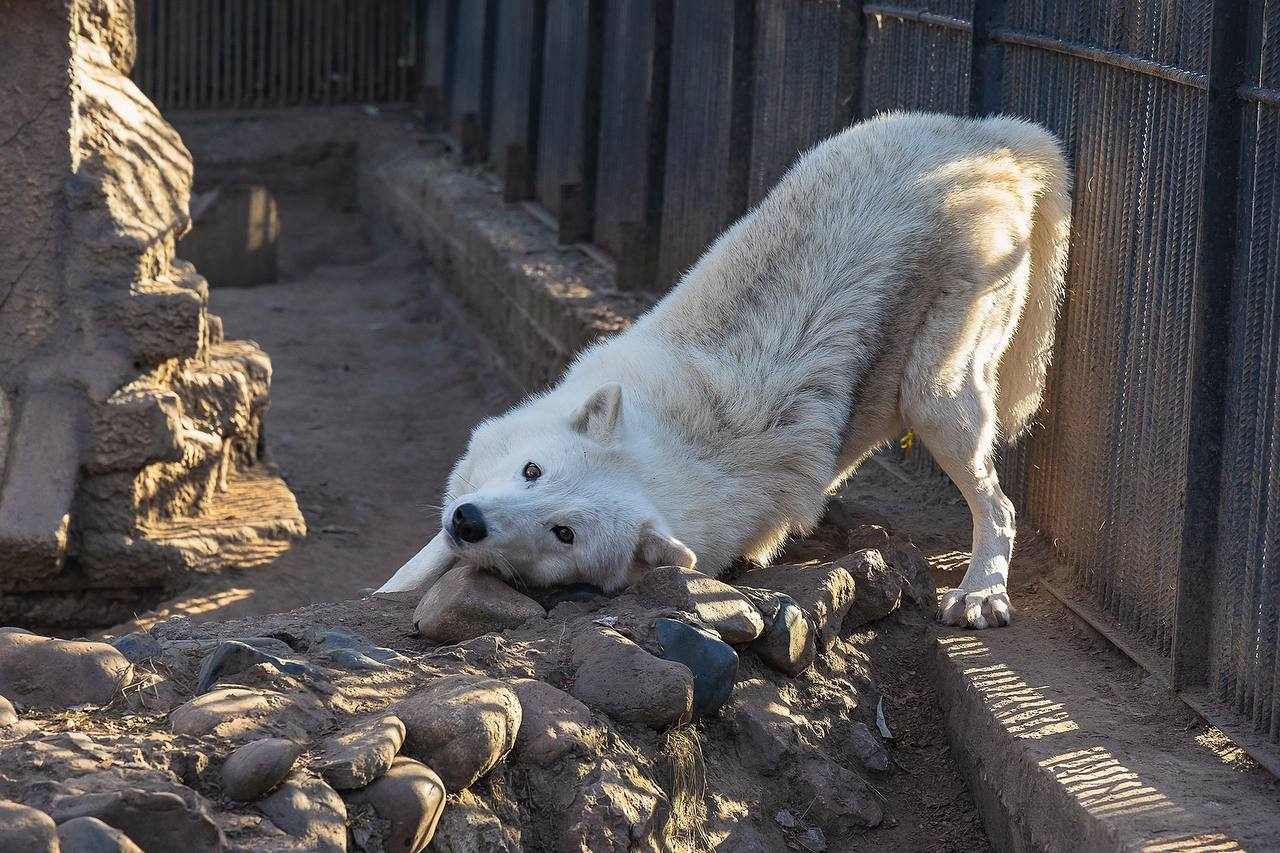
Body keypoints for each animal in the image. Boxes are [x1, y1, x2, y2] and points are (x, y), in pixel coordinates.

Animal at [376, 111, 1070, 625]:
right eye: (531, 471)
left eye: (563, 533)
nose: (470, 523)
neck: (678, 453)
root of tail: (991, 135)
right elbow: (412, 569)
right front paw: (392, 591)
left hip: (935, 398)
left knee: (1000, 508)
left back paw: (981, 593)